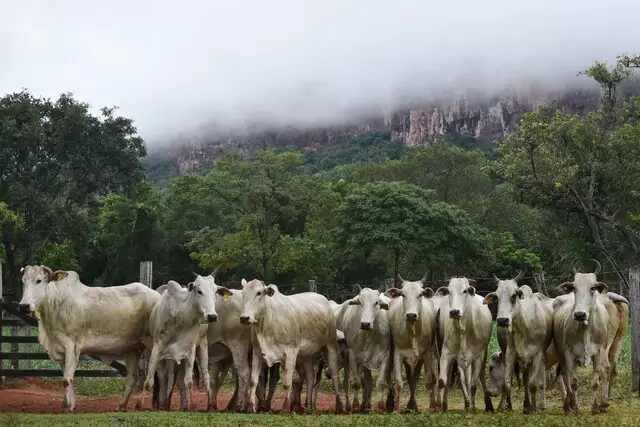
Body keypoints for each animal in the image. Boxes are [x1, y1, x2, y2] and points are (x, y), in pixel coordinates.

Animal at [136, 278, 231, 412]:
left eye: (215, 292)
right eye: (199, 291)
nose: (212, 316)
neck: (180, 317)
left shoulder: (190, 351)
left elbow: (188, 381)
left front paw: (190, 405)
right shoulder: (157, 349)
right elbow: (149, 381)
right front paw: (140, 404)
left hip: (202, 346)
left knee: (205, 377)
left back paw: (209, 404)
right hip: (170, 359)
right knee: (172, 378)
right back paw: (168, 403)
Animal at [384, 276, 440, 412]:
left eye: (420, 294)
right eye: (403, 294)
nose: (411, 315)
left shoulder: (427, 354)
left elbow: (428, 381)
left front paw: (431, 406)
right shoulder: (398, 354)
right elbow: (399, 383)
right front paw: (396, 409)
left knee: (424, 378)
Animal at [552, 260, 628, 414]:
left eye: (593, 287)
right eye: (574, 288)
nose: (579, 314)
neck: (585, 330)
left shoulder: (598, 352)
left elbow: (595, 382)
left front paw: (595, 407)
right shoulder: (569, 354)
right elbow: (574, 382)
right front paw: (576, 408)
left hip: (615, 342)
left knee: (608, 368)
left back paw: (602, 402)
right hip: (563, 353)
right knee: (565, 375)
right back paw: (569, 405)